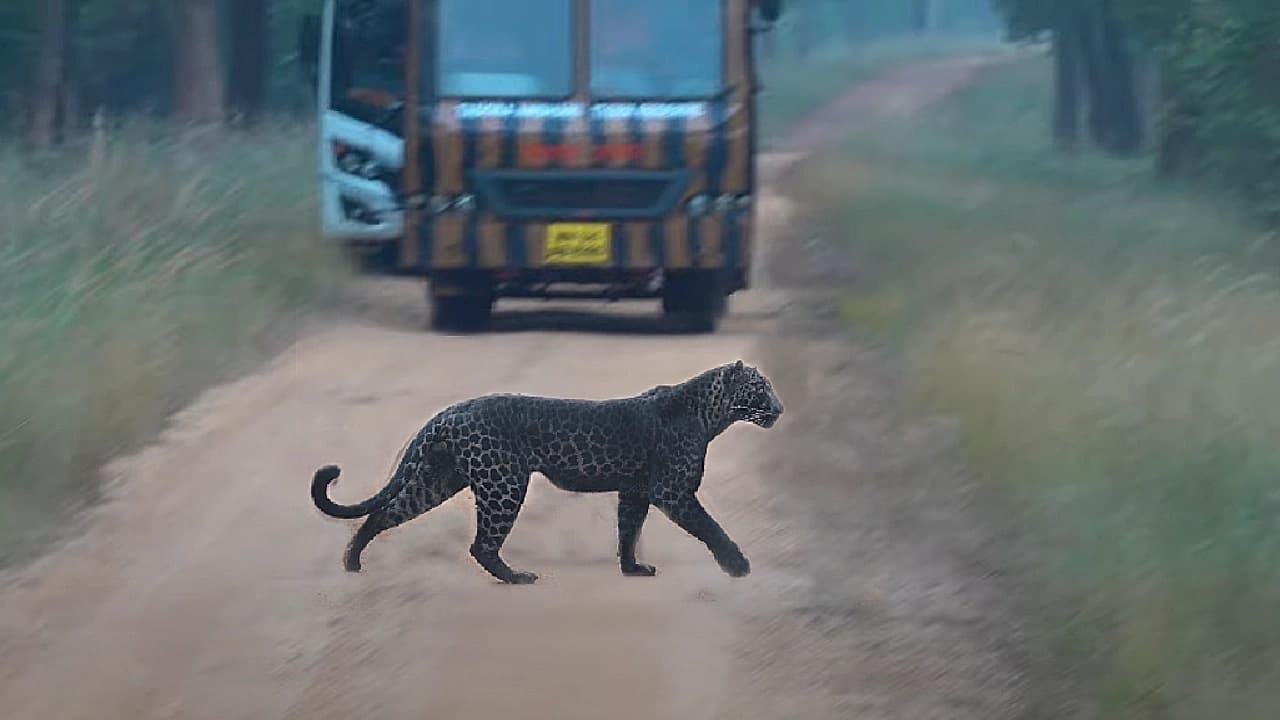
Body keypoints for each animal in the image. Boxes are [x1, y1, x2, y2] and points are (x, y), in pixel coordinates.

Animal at [314, 358, 783, 584]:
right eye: (760, 390)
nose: (779, 409)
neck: (710, 414)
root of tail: (450, 412)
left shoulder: (634, 491)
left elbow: (627, 531)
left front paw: (632, 569)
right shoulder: (673, 491)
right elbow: (711, 527)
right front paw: (738, 566)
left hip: (439, 478)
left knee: (385, 513)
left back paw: (352, 562)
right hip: (503, 482)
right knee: (481, 544)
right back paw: (517, 578)